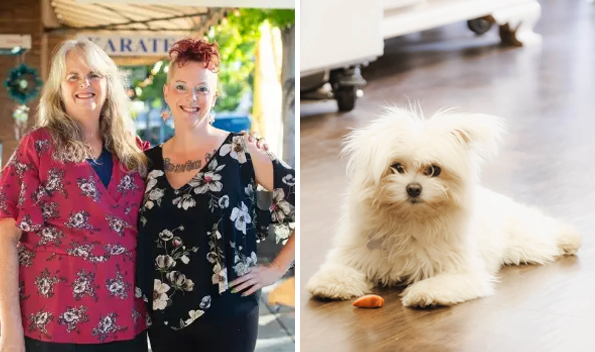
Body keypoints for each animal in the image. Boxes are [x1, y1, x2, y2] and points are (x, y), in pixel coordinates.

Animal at [308, 107, 584, 308]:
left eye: (433, 170)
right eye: (396, 167)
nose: (413, 188)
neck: (410, 221)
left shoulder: (462, 271)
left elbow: (441, 283)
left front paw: (423, 294)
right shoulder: (353, 255)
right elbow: (338, 270)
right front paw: (329, 285)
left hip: (524, 242)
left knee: (544, 230)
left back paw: (569, 238)